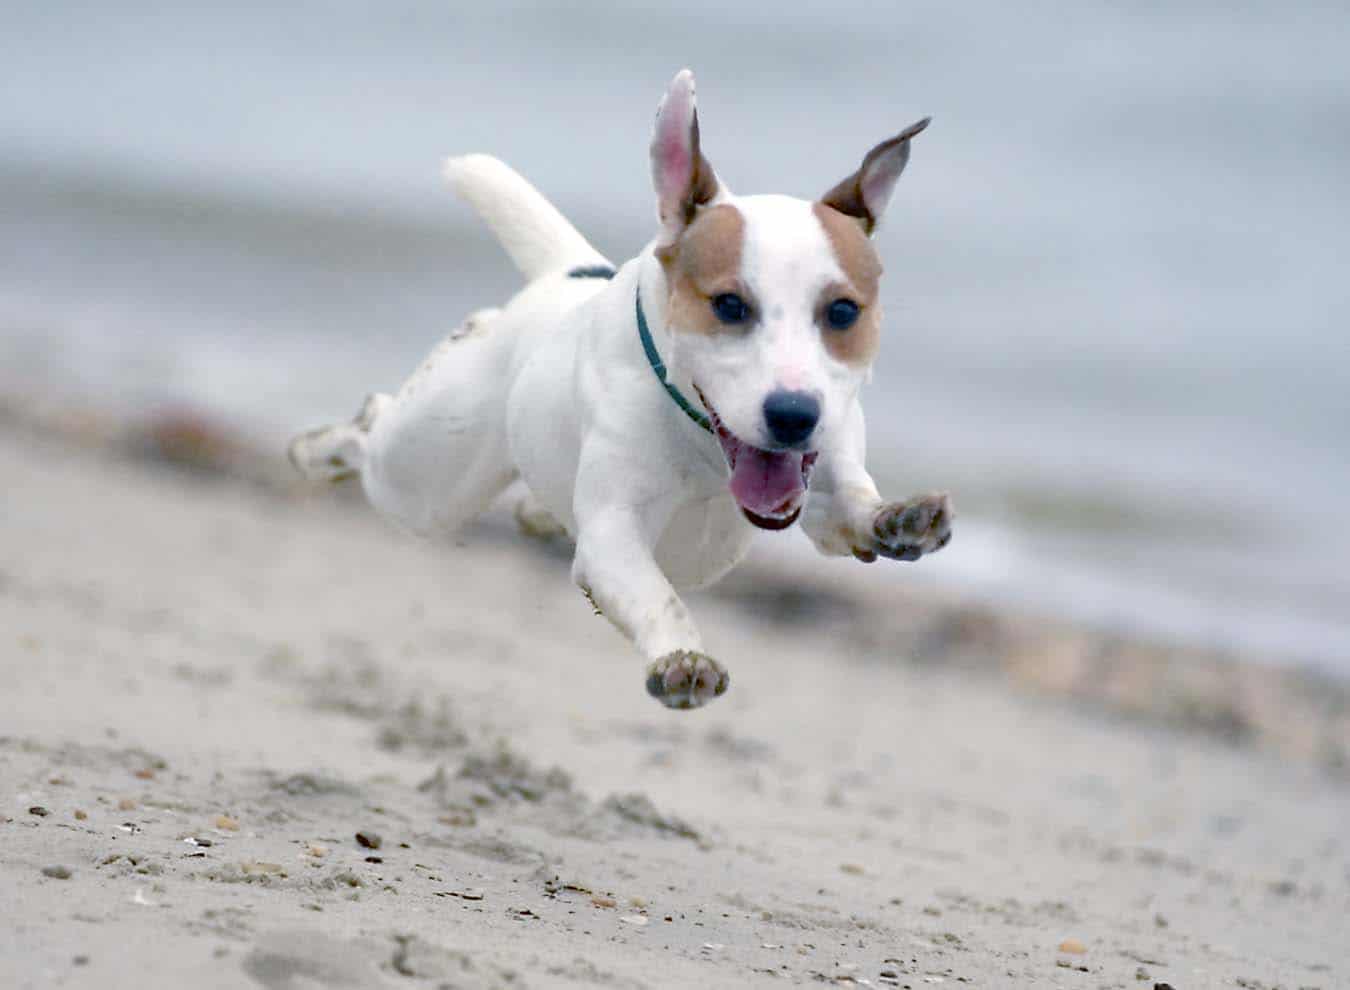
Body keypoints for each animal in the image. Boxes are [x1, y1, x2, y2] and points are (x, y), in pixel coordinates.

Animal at [290, 71, 955, 713]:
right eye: (729, 305)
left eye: (843, 311)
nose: (793, 415)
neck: (704, 444)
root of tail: (568, 275)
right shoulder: (614, 536)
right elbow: (656, 594)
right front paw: (682, 658)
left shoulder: (819, 486)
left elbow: (849, 508)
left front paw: (899, 519)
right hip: (427, 479)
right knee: (379, 429)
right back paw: (320, 448)